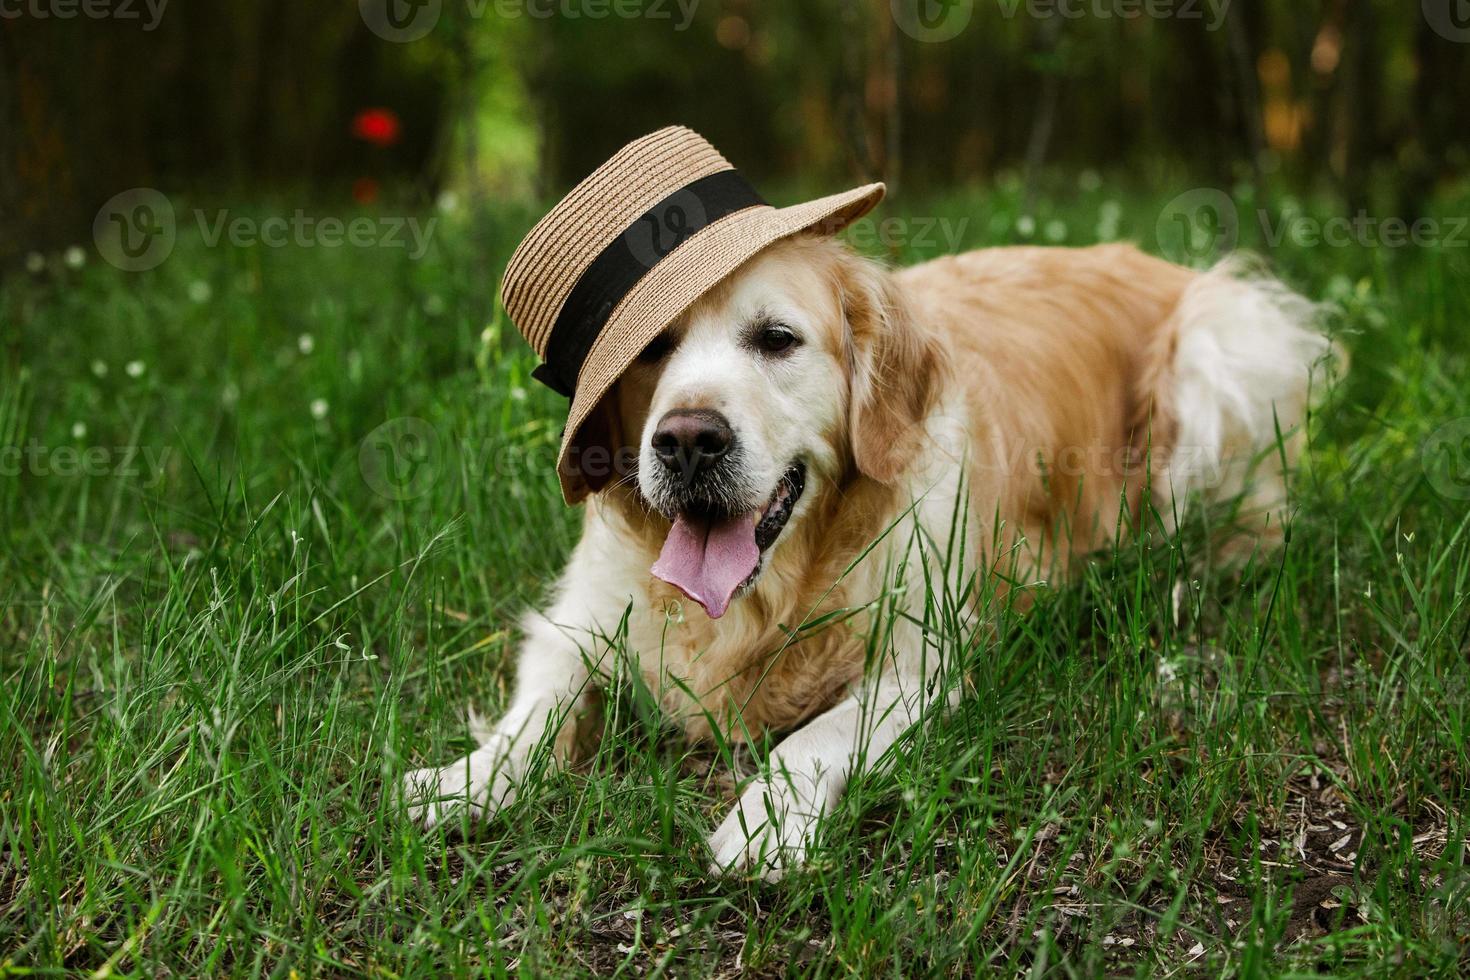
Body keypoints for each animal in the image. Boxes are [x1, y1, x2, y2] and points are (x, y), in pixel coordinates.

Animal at [408, 233, 1340, 875]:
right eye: (652, 350)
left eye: (776, 339)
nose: (685, 441)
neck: (763, 595)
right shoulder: (579, 620)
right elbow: (539, 710)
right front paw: (467, 780)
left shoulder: (917, 660)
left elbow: (811, 739)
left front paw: (764, 825)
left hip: (1223, 351)